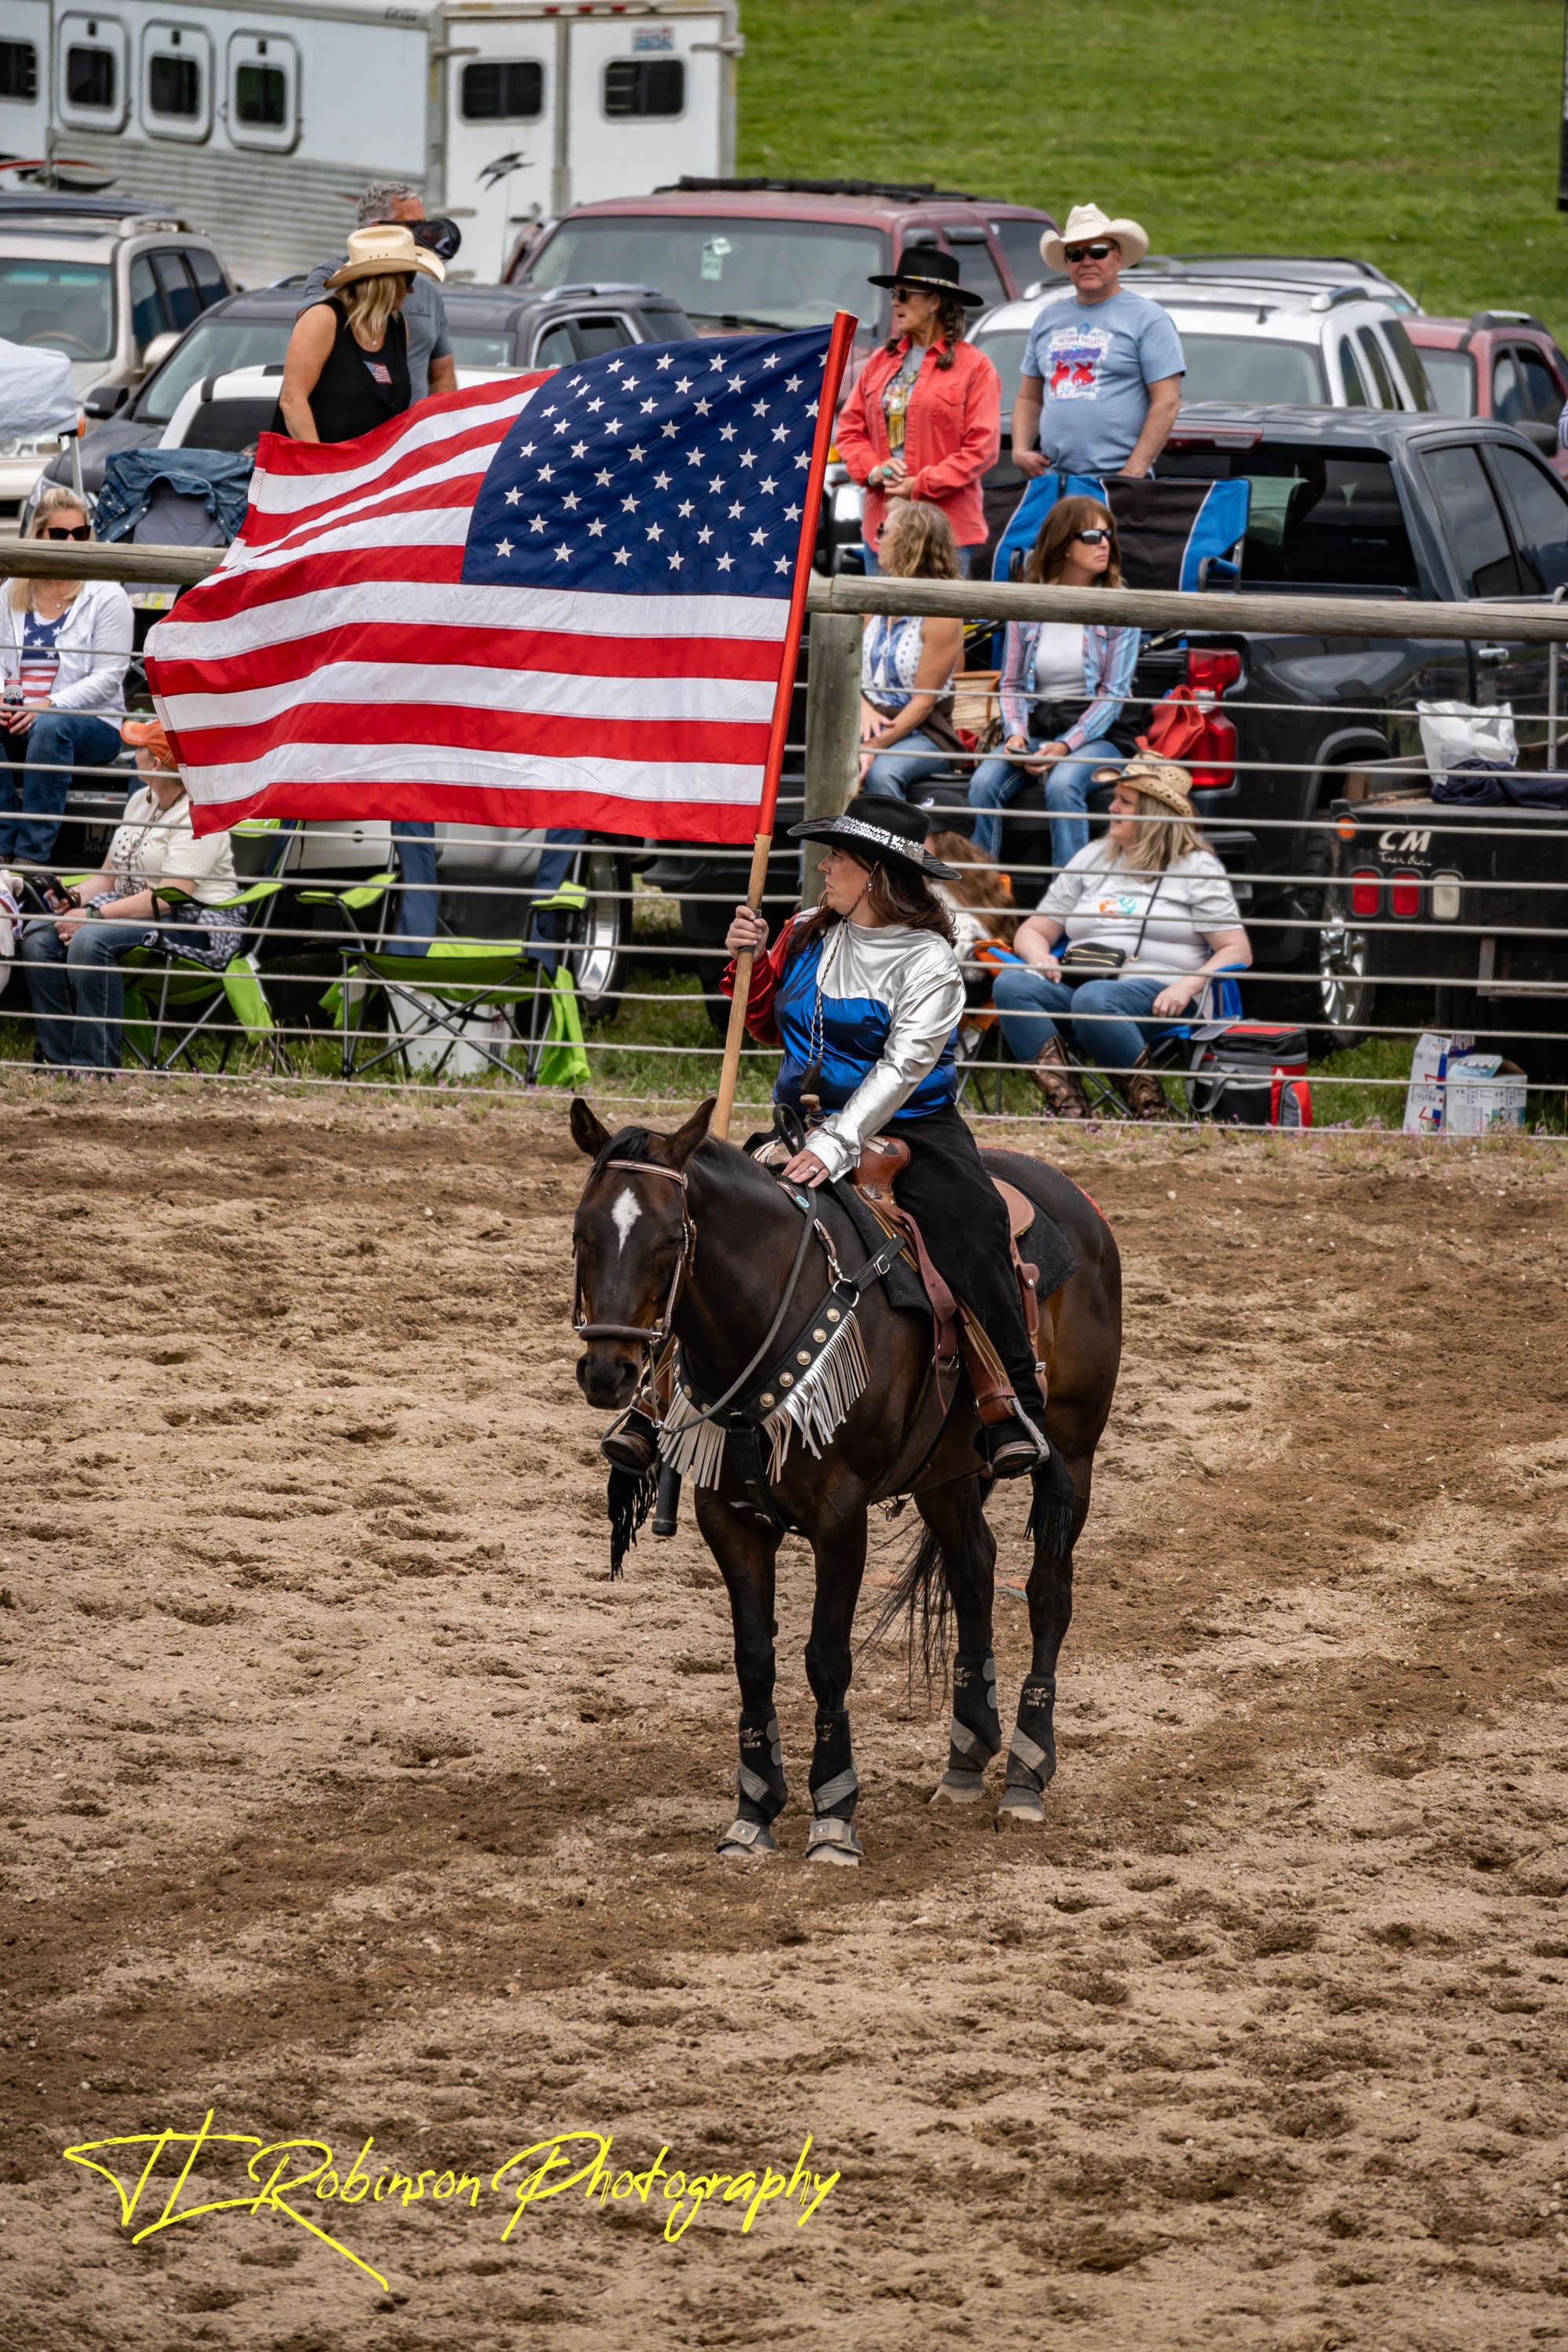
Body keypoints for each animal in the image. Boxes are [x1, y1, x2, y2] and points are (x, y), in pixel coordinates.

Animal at [571, 1091, 1123, 1863]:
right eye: (582, 1235)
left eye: (669, 1241)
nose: (607, 1372)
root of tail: (1081, 1206)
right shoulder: (727, 1516)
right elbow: (753, 1658)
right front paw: (754, 1811)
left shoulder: (841, 1516)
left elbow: (826, 1657)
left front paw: (833, 1814)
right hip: (945, 1474)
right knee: (975, 1571)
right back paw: (964, 1759)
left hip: (1072, 1455)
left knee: (1048, 1594)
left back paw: (1024, 1773)